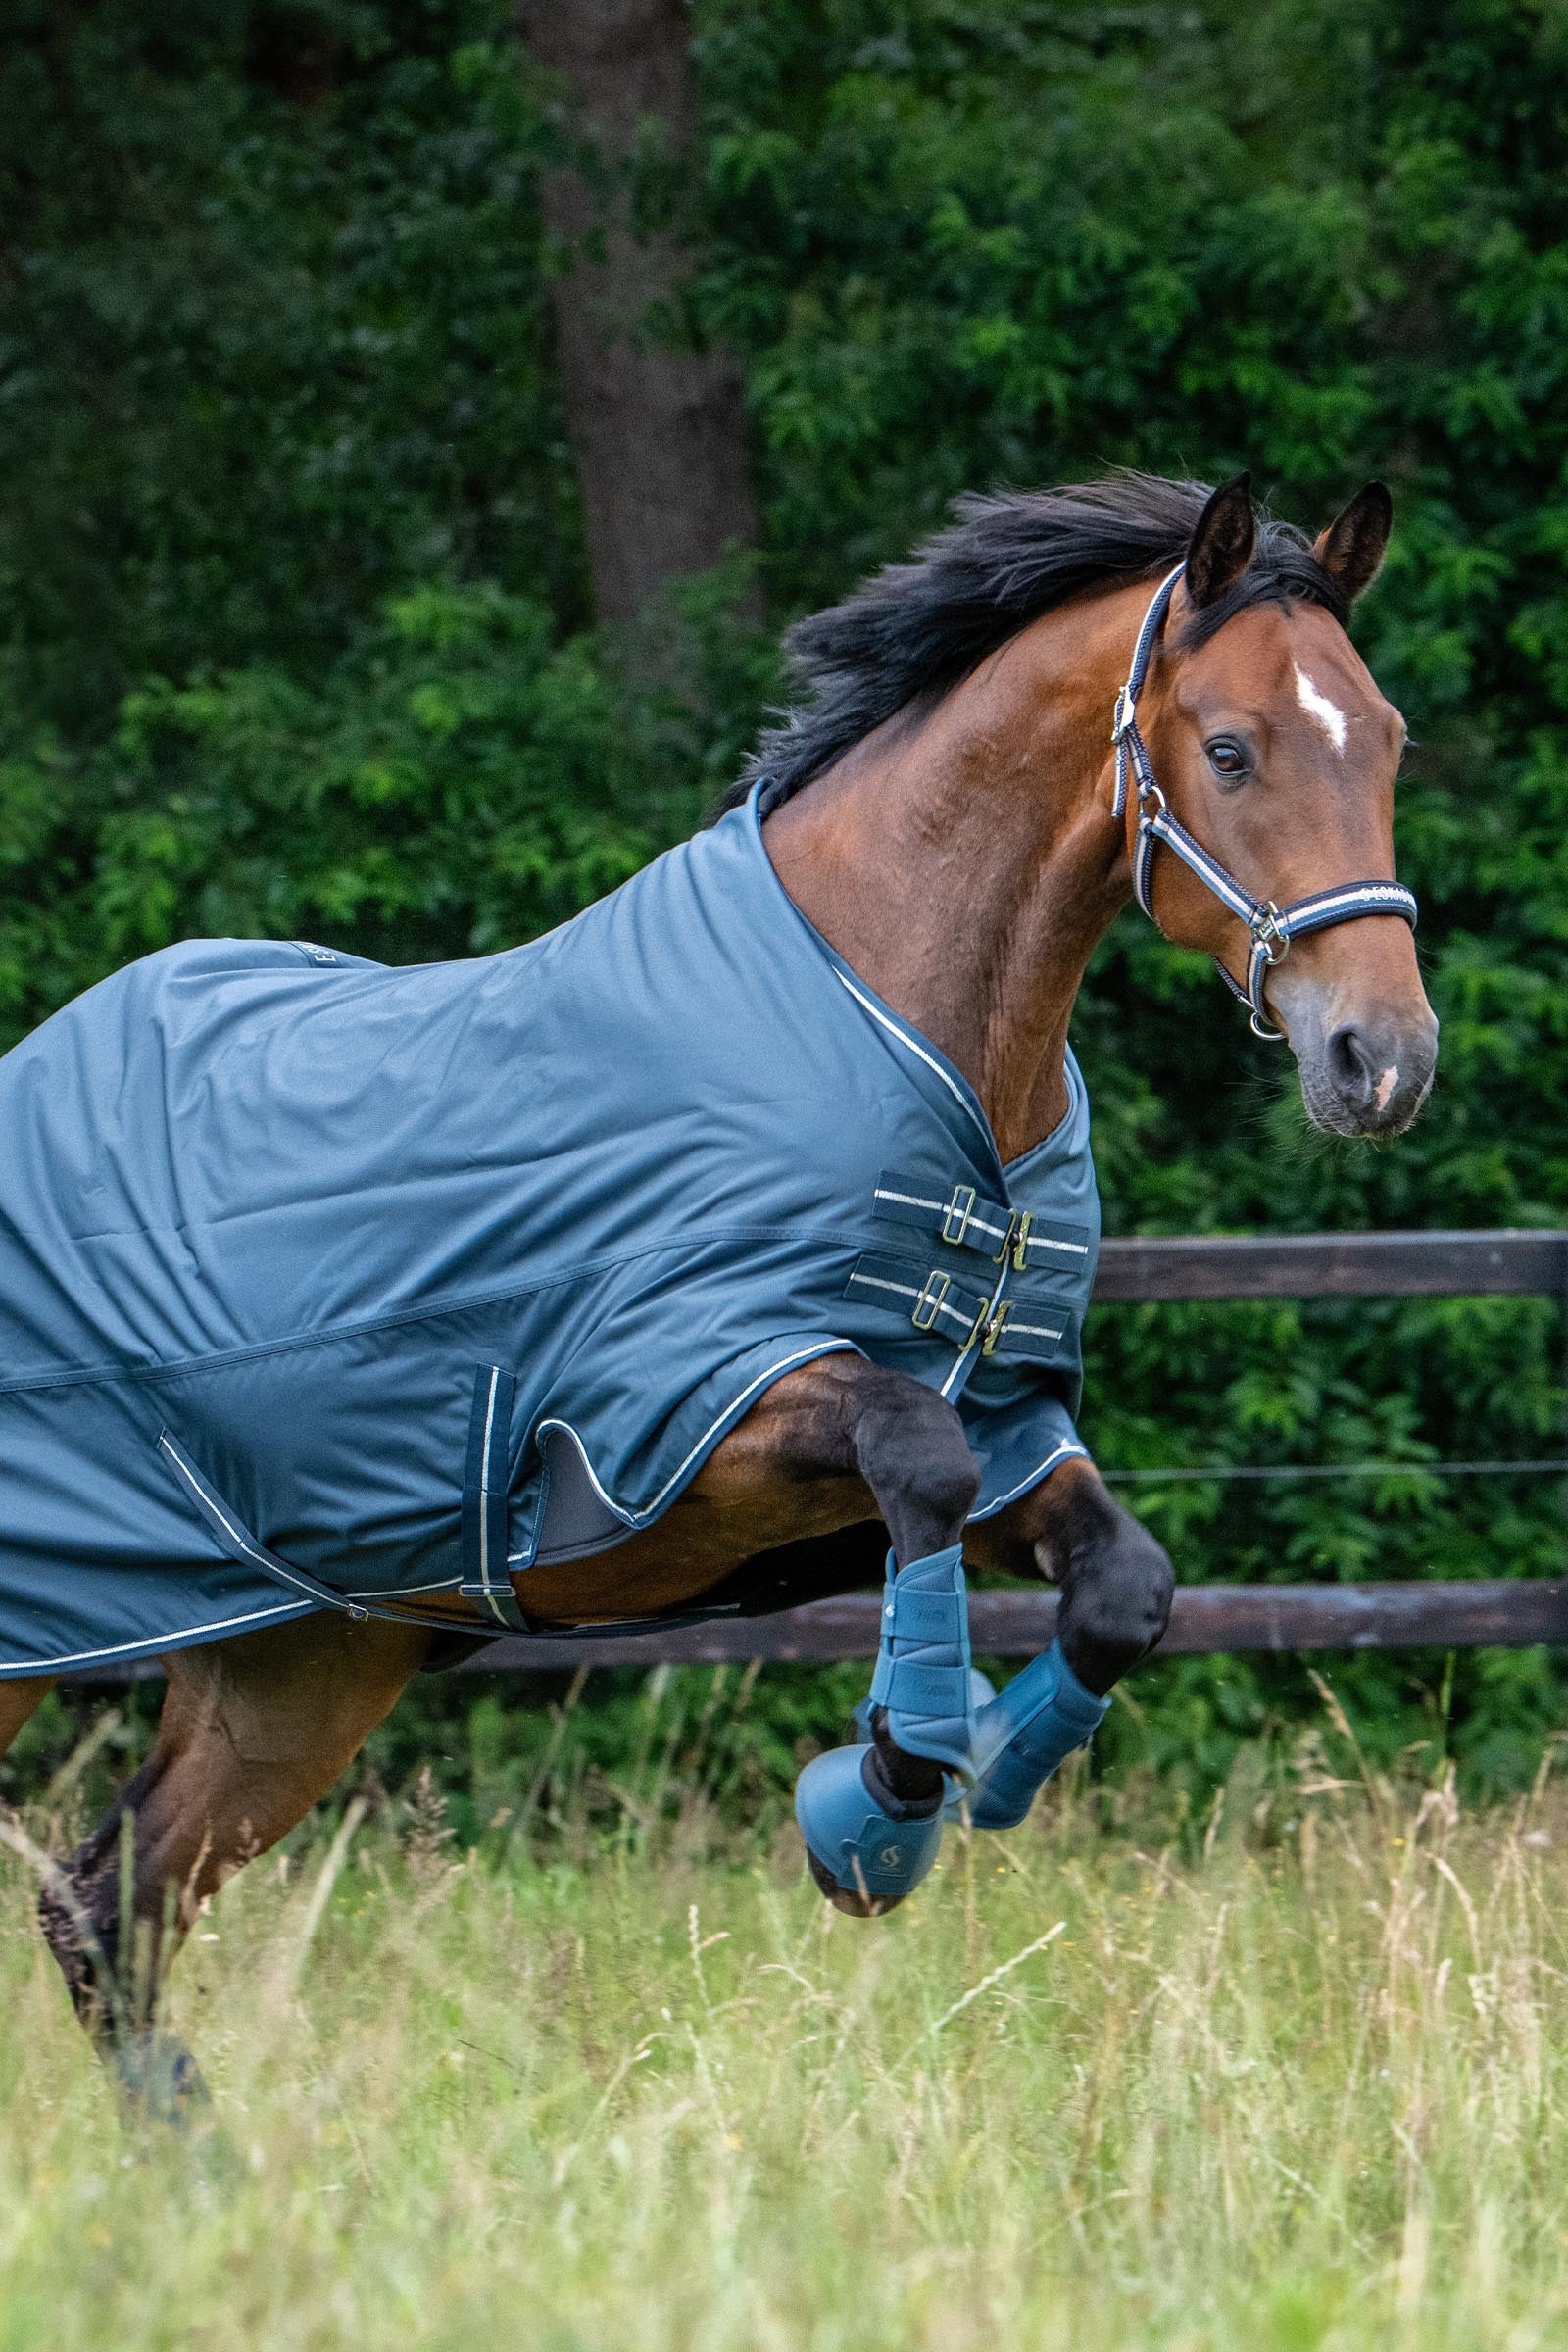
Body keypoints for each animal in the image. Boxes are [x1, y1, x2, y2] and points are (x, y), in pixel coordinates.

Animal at [0, 470, 1436, 2109]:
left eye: (1389, 737)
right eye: (1231, 748)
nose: (1383, 1060)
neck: (899, 1025)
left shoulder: (1008, 1426)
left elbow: (1120, 1585)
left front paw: (958, 1783)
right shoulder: (684, 1414)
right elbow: (917, 1462)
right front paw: (880, 1800)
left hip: (303, 1662)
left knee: (109, 1905)